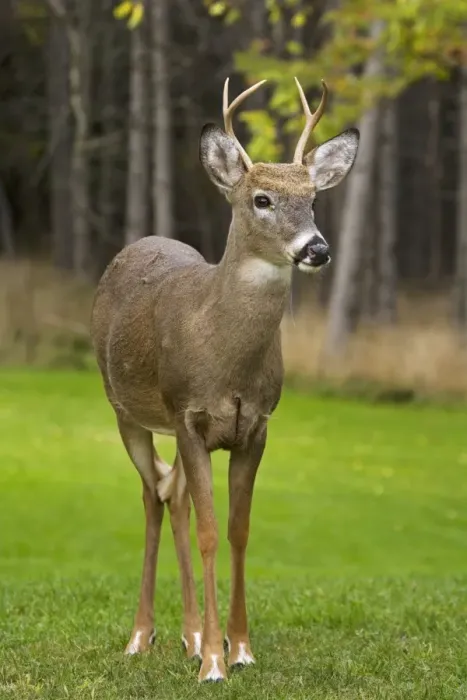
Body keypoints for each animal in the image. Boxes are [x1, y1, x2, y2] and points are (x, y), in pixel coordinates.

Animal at [90, 76, 359, 683]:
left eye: (313, 199)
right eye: (261, 200)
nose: (317, 248)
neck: (226, 356)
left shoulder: (254, 426)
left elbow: (238, 531)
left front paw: (238, 649)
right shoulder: (189, 412)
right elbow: (211, 533)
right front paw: (214, 662)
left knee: (173, 496)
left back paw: (187, 634)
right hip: (127, 410)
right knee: (152, 495)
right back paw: (142, 636)